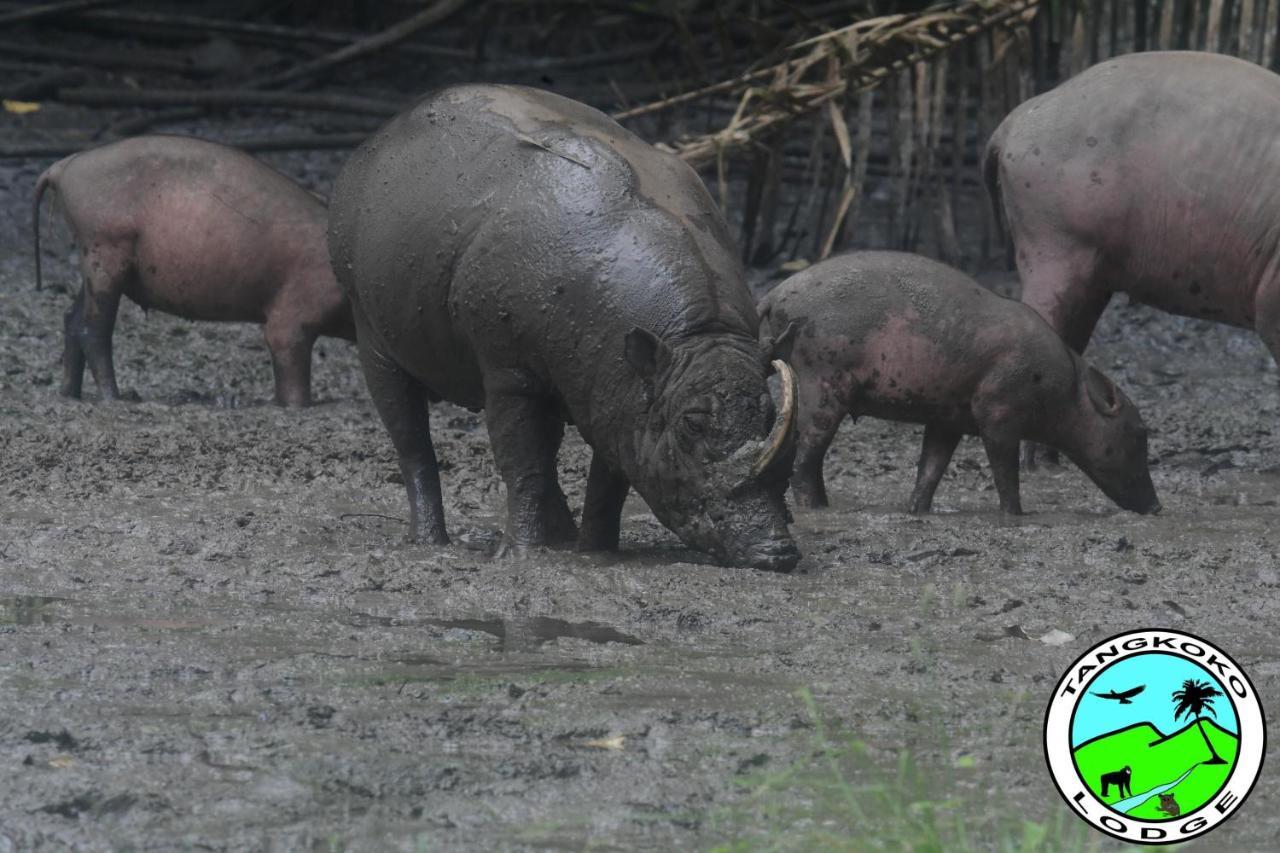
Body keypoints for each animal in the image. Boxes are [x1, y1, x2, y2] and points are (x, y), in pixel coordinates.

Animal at [35, 134, 355, 407]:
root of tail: (64, 166)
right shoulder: (292, 317)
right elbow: (290, 364)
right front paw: (296, 406)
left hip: (93, 262)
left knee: (71, 318)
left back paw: (70, 394)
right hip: (104, 250)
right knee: (93, 328)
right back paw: (114, 398)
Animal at [752, 249, 1167, 514]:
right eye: (1139, 433)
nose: (1157, 506)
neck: (1065, 391)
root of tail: (774, 294)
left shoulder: (946, 419)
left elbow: (931, 467)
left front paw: (917, 511)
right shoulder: (997, 412)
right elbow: (1004, 469)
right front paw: (1016, 515)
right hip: (824, 382)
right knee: (805, 455)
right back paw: (815, 508)